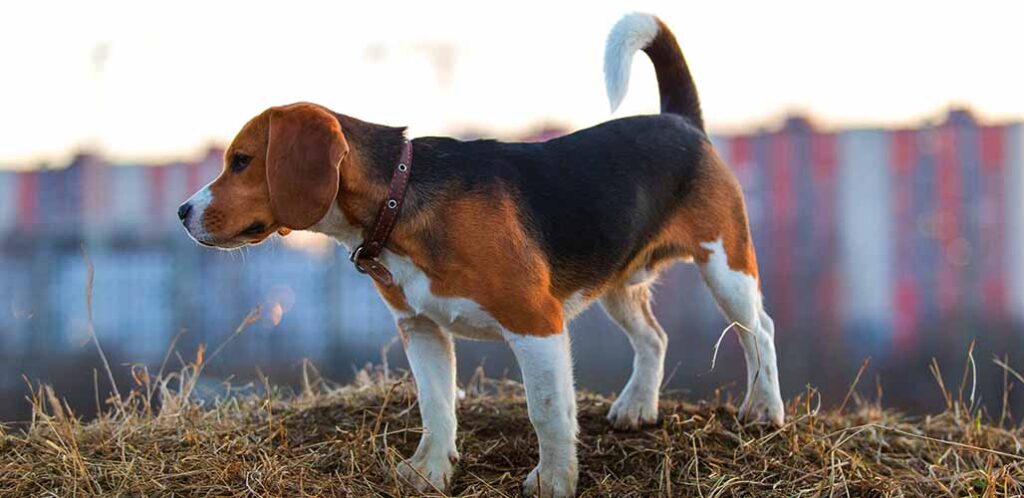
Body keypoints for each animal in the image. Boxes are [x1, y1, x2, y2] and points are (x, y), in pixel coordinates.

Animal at [180, 12, 782, 498]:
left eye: (241, 161)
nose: (183, 212)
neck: (398, 198)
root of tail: (681, 121)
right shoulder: (421, 328)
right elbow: (436, 407)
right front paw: (429, 472)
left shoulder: (535, 323)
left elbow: (547, 412)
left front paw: (553, 481)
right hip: (617, 282)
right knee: (653, 338)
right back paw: (637, 406)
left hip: (725, 268)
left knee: (761, 332)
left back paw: (764, 411)